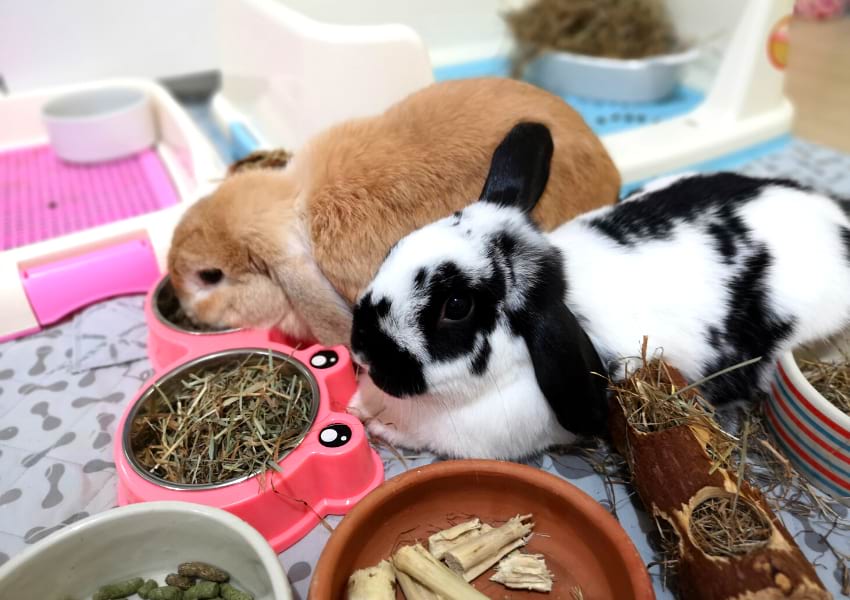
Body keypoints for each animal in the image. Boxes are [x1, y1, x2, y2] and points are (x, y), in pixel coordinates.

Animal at [346, 122, 848, 460]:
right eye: (397, 245)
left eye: (456, 305)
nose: (362, 349)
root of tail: (838, 219)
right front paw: (359, 403)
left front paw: (375, 421)